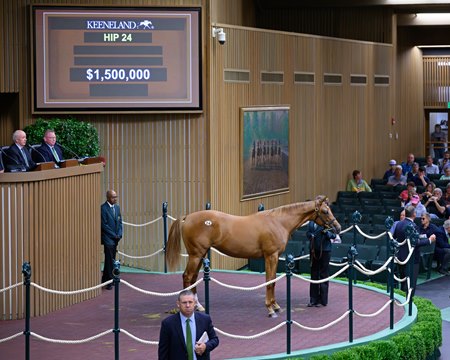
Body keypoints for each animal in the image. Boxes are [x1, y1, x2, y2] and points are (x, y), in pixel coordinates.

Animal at [165, 195, 342, 316]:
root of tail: (187, 217)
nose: (338, 228)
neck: (278, 222)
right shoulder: (271, 256)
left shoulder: (274, 257)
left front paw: (275, 306)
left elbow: (273, 281)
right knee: (188, 277)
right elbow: (270, 281)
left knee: (193, 278)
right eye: (325, 211)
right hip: (196, 255)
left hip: (199, 255)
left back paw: (198, 306)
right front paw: (270, 309)